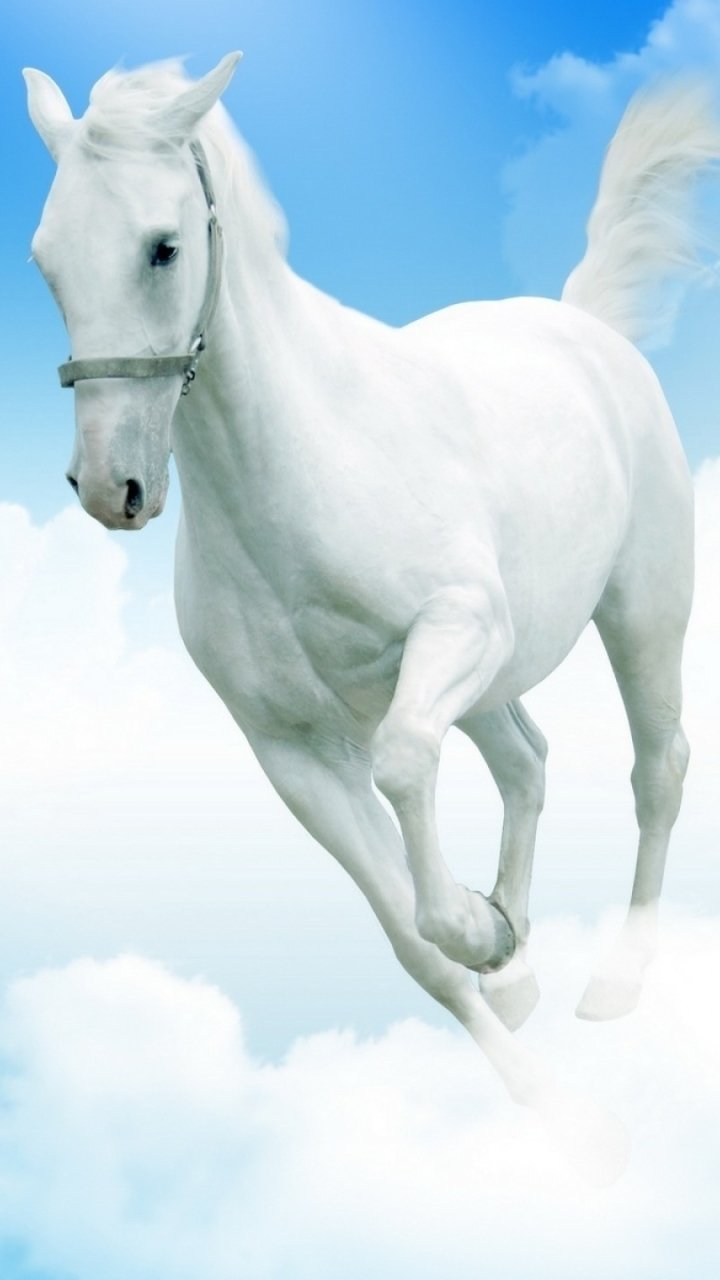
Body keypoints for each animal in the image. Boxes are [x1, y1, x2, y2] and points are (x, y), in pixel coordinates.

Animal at [24, 55, 709, 1173]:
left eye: (162, 246)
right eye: (46, 258)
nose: (110, 487)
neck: (305, 463)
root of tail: (587, 329)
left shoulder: (455, 634)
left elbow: (401, 772)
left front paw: (481, 932)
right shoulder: (291, 750)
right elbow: (413, 945)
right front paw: (537, 1067)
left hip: (640, 612)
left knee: (658, 768)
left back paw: (616, 980)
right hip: (495, 684)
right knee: (528, 762)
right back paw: (523, 953)